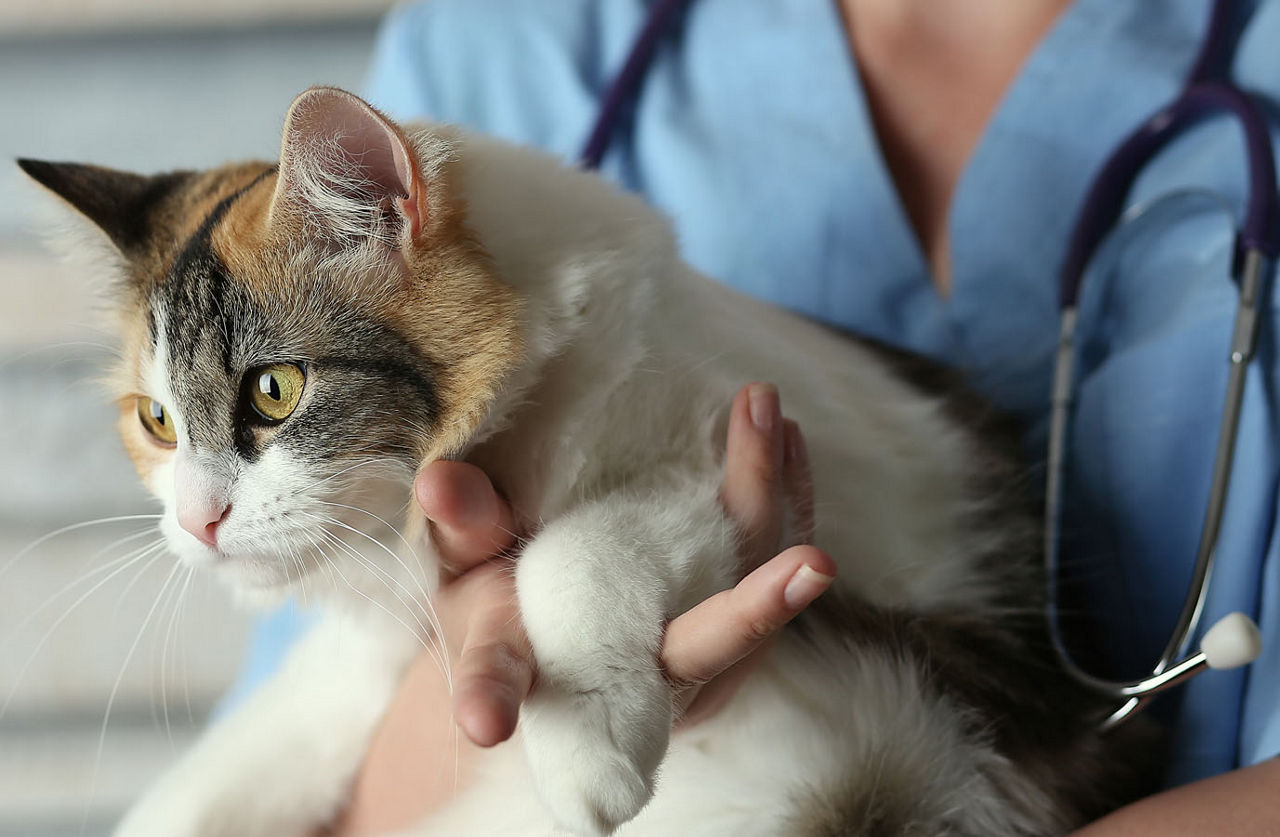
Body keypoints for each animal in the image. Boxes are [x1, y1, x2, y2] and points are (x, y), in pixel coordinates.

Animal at [20, 87, 1157, 837]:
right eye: (157, 421)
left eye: (274, 391)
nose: (196, 521)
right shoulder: (371, 653)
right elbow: (249, 750)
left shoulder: (752, 468)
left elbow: (568, 553)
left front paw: (587, 755)